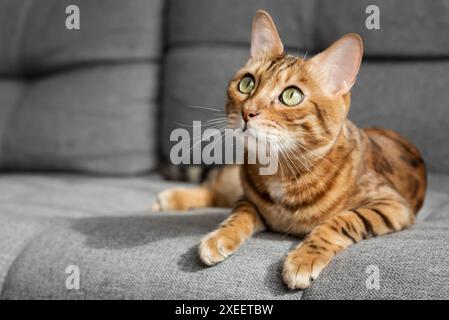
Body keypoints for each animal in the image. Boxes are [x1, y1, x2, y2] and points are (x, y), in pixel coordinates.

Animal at [153, 10, 424, 290]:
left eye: (291, 96)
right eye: (247, 84)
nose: (247, 111)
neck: (282, 170)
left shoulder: (392, 205)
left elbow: (341, 221)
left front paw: (305, 257)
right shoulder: (248, 199)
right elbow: (238, 214)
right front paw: (219, 236)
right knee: (215, 189)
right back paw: (172, 197)